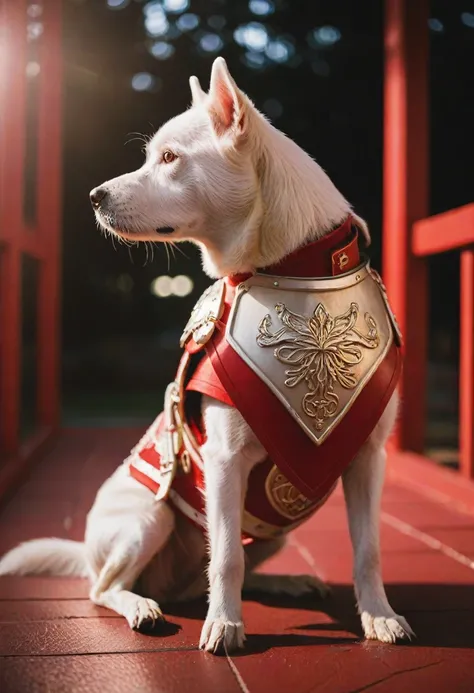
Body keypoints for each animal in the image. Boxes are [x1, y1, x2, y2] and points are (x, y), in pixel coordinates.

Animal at [0, 56, 412, 652]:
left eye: (170, 158)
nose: (94, 197)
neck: (297, 267)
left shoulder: (368, 460)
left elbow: (368, 550)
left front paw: (379, 615)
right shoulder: (223, 461)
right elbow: (227, 562)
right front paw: (225, 624)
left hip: (272, 533)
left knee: (226, 563)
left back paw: (284, 583)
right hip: (149, 519)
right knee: (106, 587)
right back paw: (143, 605)